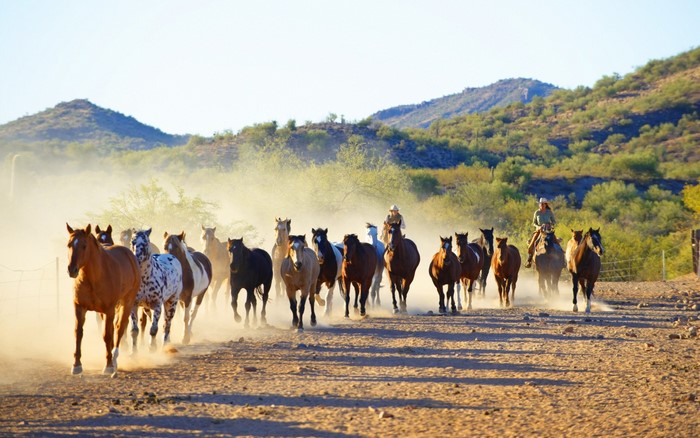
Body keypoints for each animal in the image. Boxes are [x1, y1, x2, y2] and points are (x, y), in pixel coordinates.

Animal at [66, 224, 140, 376]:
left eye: (84, 245)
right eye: (69, 244)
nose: (72, 269)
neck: (93, 278)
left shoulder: (109, 309)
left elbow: (108, 335)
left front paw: (109, 366)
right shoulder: (79, 307)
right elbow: (78, 333)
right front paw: (76, 365)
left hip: (127, 303)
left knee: (119, 328)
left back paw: (115, 358)